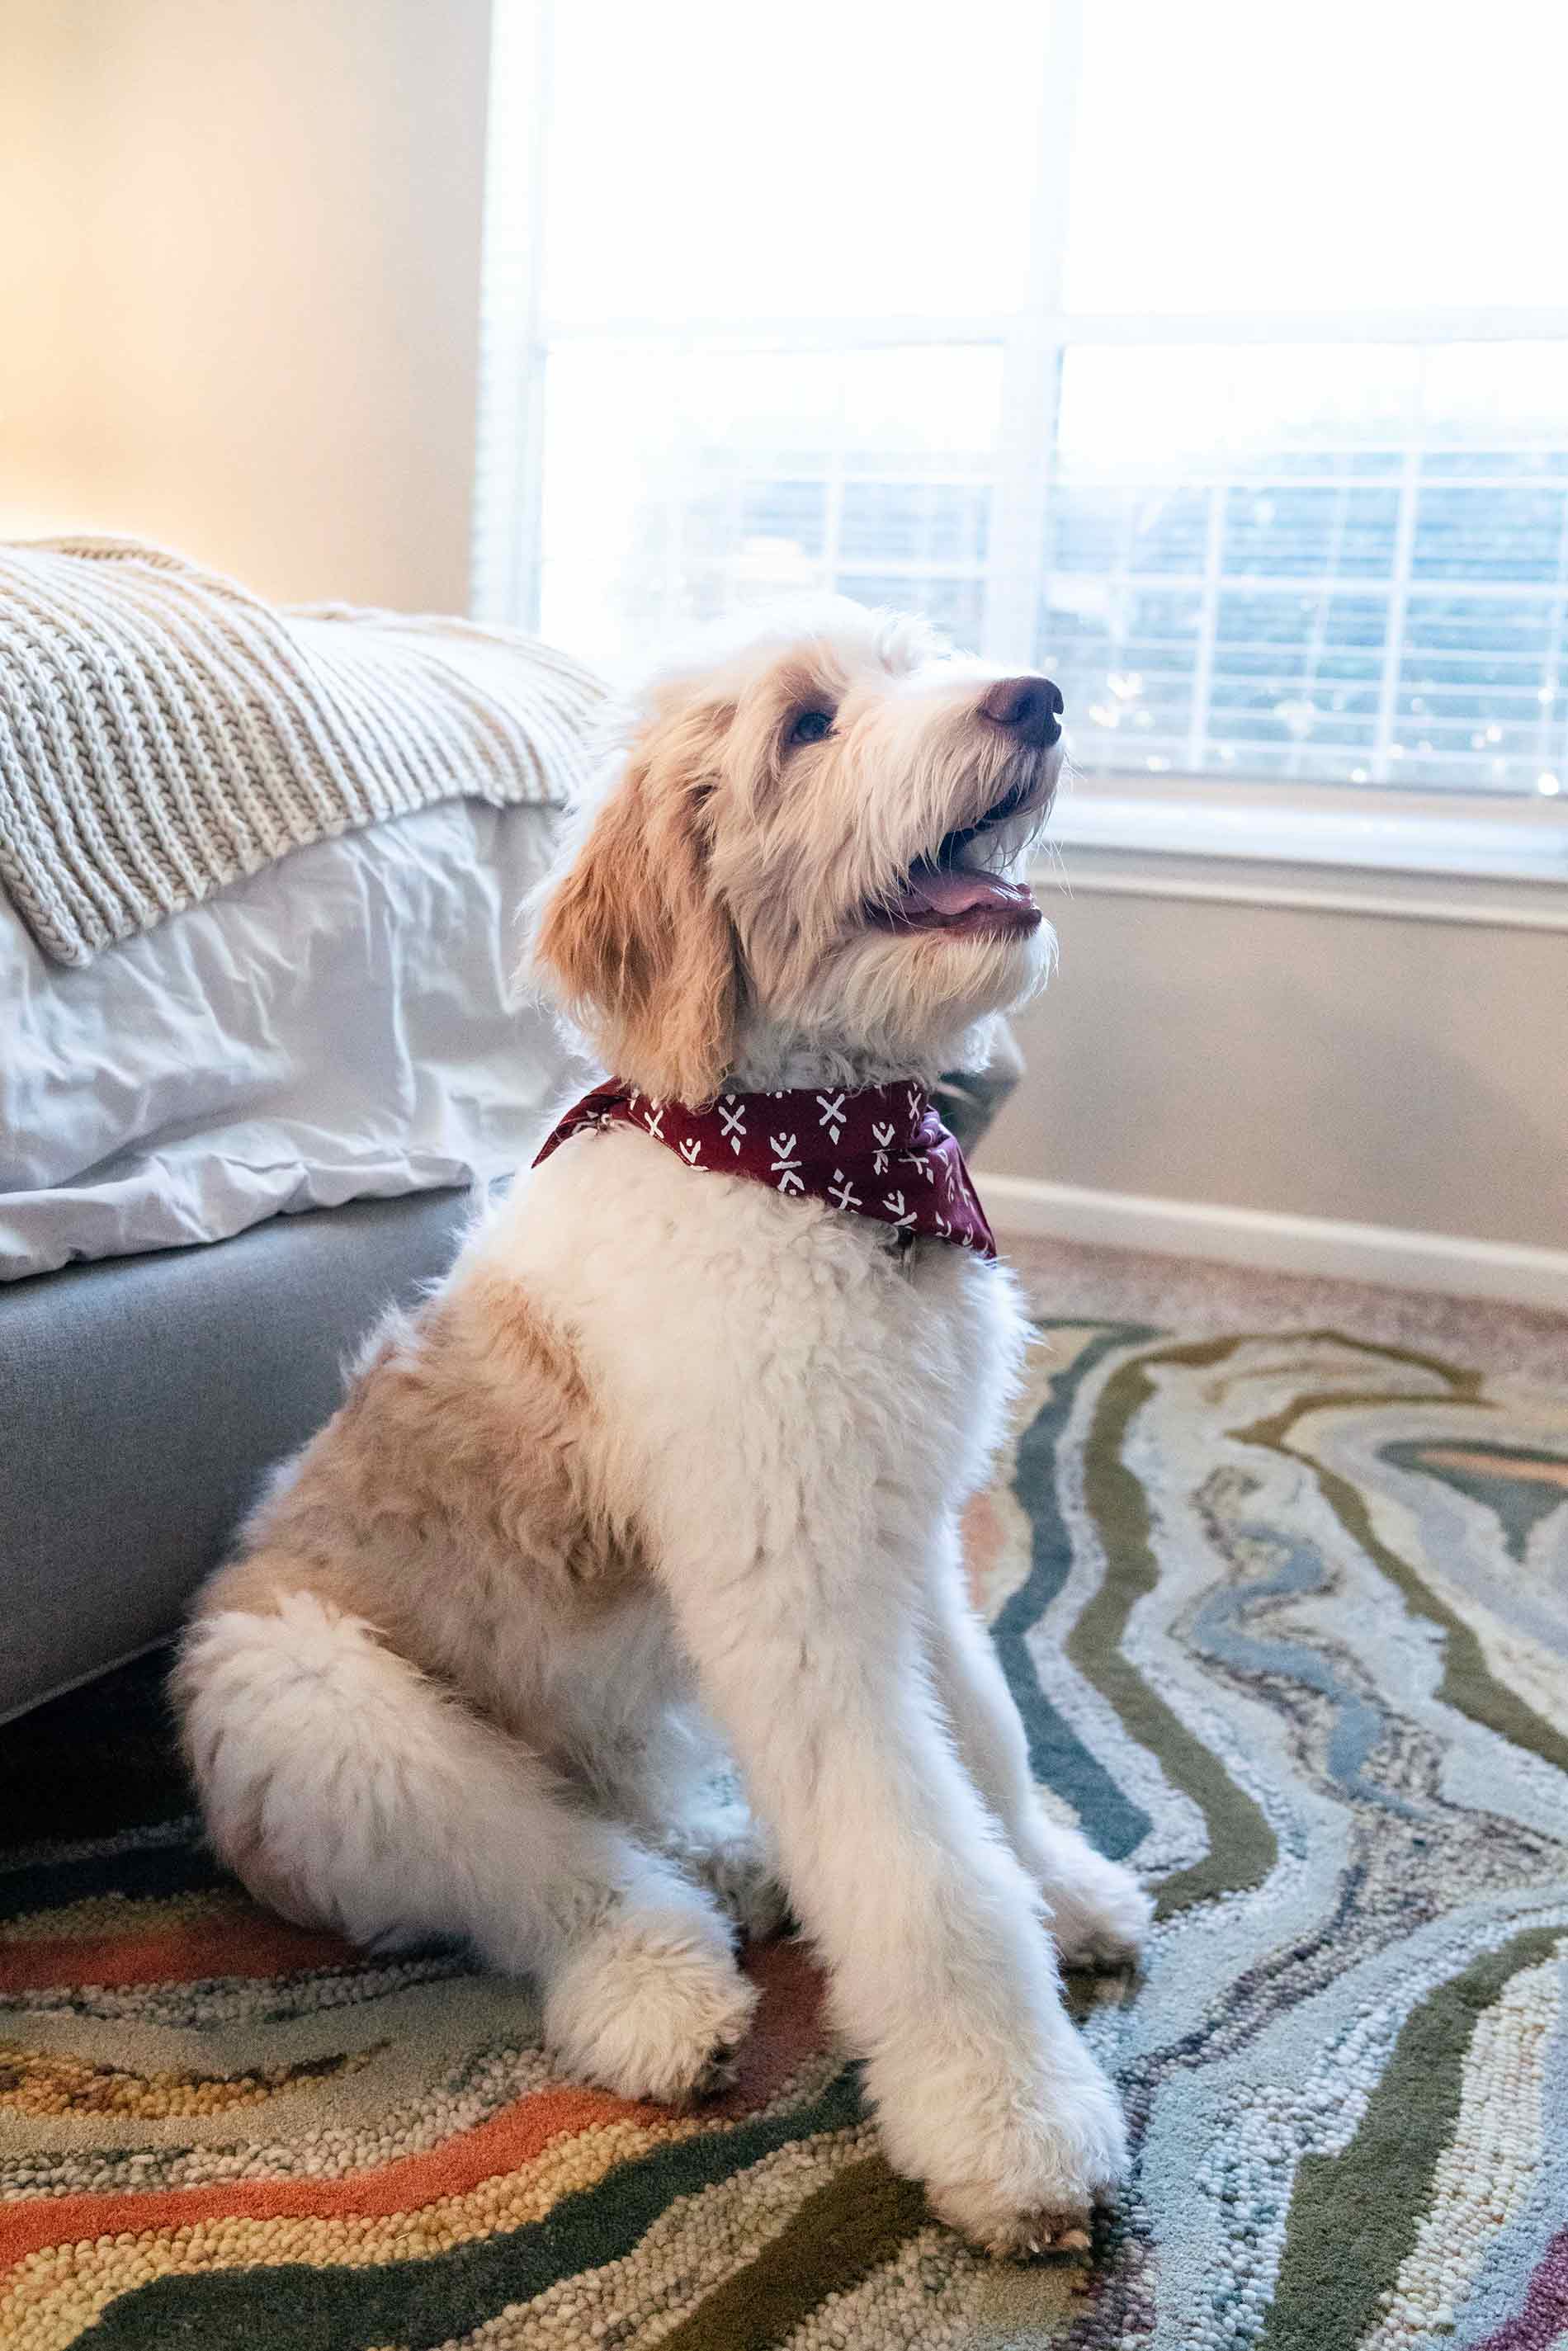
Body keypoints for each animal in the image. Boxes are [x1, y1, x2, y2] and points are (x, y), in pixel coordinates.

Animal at [175, 607, 1151, 2257]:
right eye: (808, 726)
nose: (1037, 696)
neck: (803, 1161)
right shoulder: (799, 1600)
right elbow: (920, 1870)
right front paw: (1012, 2126)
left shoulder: (906, 1540)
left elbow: (992, 1741)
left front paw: (1060, 1886)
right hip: (324, 1710)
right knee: (547, 1873)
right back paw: (662, 1989)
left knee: (618, 1813)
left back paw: (731, 1853)